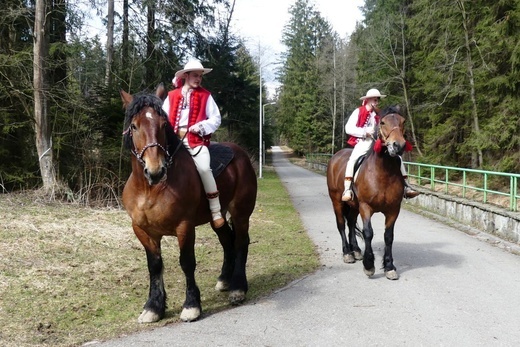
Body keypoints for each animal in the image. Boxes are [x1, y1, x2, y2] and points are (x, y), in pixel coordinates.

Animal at [118, 86, 256, 324]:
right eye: (134, 126)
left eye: (163, 125)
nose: (156, 170)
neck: (150, 189)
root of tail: (241, 154)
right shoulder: (143, 231)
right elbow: (155, 266)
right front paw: (153, 307)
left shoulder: (184, 226)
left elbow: (187, 262)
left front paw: (192, 305)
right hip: (218, 218)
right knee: (227, 241)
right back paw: (225, 280)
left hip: (240, 214)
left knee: (240, 243)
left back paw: (238, 288)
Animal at [328, 105, 408, 280]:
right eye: (383, 122)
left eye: (403, 121)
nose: (398, 146)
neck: (383, 172)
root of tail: (335, 157)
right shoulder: (366, 207)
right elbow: (368, 233)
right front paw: (369, 265)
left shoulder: (393, 209)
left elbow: (388, 236)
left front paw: (389, 266)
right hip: (337, 201)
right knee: (342, 224)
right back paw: (348, 253)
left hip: (354, 206)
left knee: (351, 223)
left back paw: (356, 250)